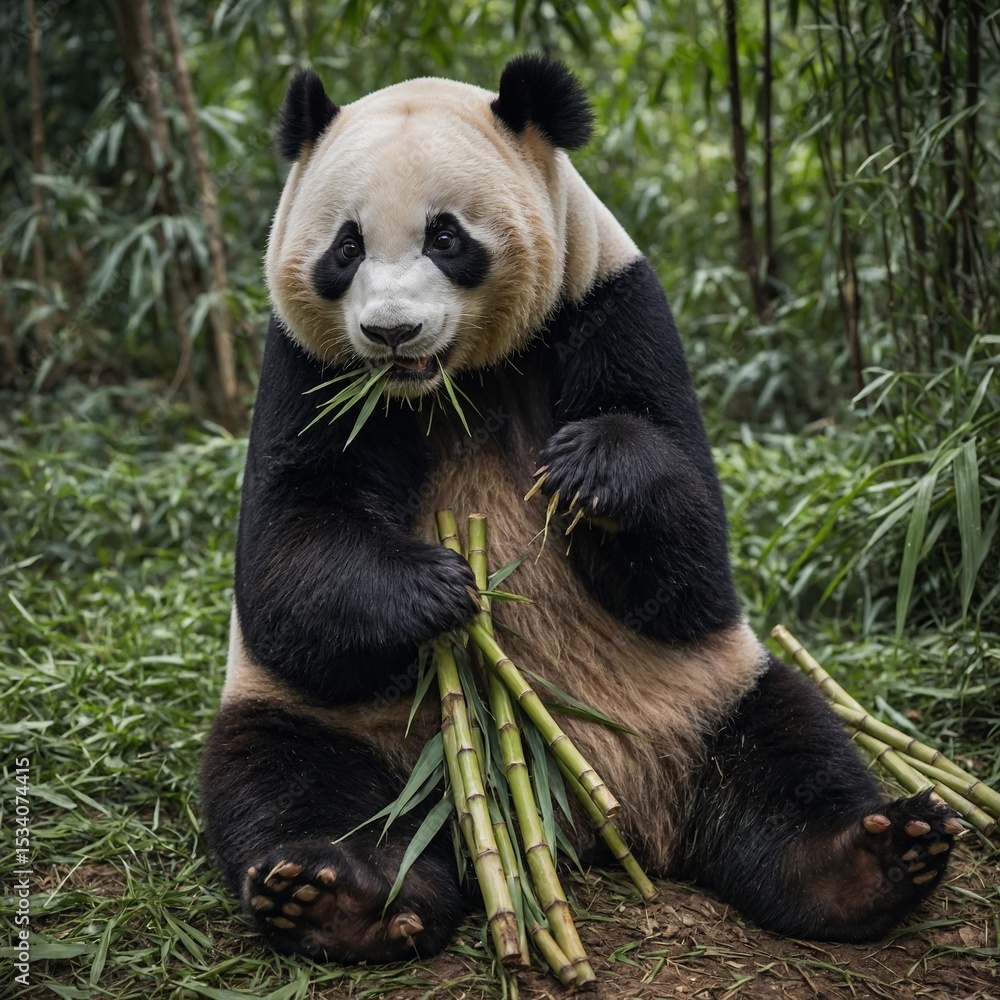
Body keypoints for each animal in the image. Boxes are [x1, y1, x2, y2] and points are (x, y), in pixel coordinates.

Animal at [200, 54, 960, 965]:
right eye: (346, 248)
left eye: (446, 237)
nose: (390, 333)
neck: (449, 387)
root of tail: (594, 822)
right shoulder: (309, 368)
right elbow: (286, 554)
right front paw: (437, 588)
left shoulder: (608, 303)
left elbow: (693, 561)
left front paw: (592, 469)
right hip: (350, 728)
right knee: (290, 781)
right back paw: (337, 895)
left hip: (705, 695)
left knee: (791, 753)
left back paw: (877, 855)